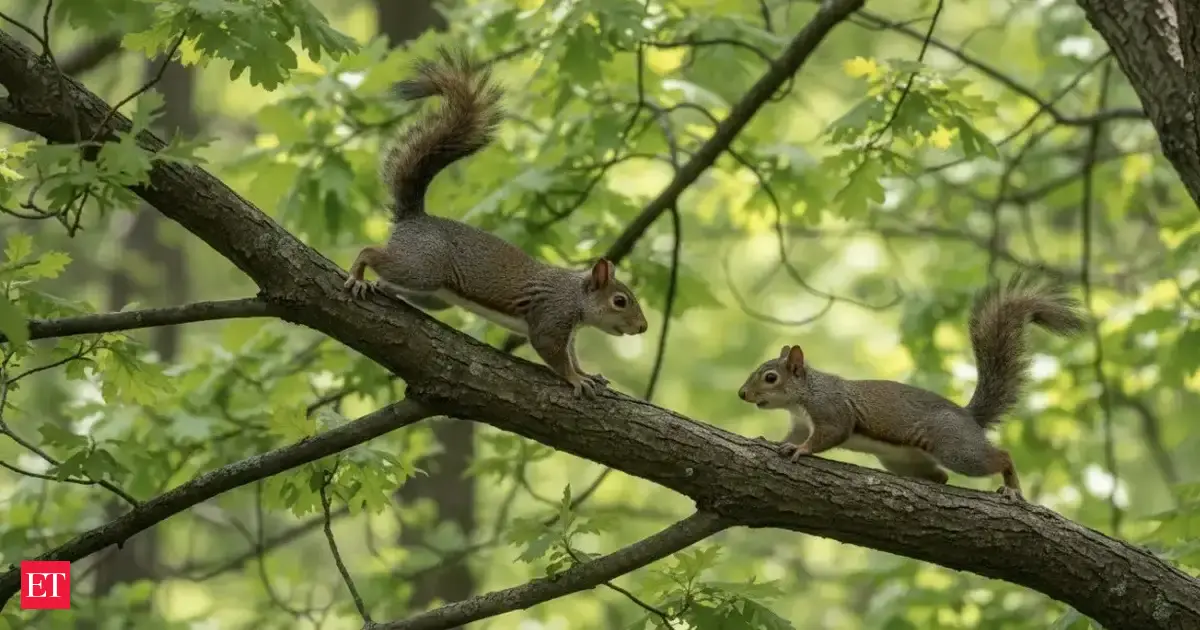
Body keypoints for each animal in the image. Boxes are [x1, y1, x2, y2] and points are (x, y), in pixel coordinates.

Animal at [343, 48, 650, 397]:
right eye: (620, 301)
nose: (643, 327)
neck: (574, 295)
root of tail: (413, 217)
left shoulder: (567, 331)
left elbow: (571, 355)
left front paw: (587, 374)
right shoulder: (551, 315)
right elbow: (553, 354)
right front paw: (576, 379)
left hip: (432, 293)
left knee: (396, 283)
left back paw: (383, 287)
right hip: (423, 265)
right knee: (371, 252)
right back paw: (359, 277)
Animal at [736, 272, 1085, 499]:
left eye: (770, 378)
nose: (742, 394)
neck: (804, 395)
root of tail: (968, 417)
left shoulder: (831, 409)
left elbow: (830, 434)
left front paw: (802, 450)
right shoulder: (799, 422)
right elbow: (792, 435)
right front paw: (770, 441)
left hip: (955, 447)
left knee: (1000, 457)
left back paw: (1012, 489)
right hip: (902, 460)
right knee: (941, 475)